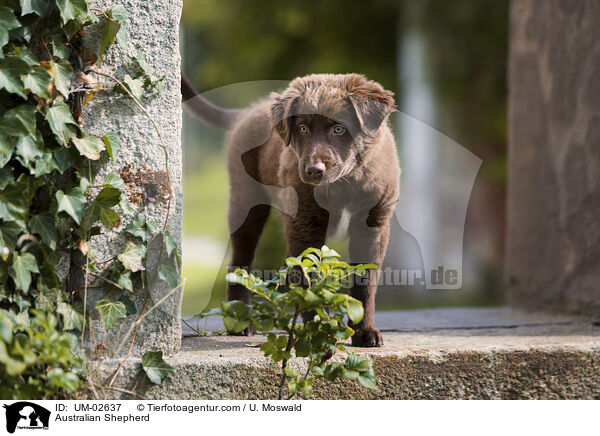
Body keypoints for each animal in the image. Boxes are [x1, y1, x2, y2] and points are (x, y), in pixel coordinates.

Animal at [183, 75, 398, 348]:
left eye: (339, 128)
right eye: (303, 129)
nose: (313, 170)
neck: (344, 184)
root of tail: (247, 112)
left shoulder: (373, 225)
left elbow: (365, 283)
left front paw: (365, 331)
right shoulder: (305, 223)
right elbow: (308, 278)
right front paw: (317, 332)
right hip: (246, 204)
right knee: (239, 263)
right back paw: (240, 322)